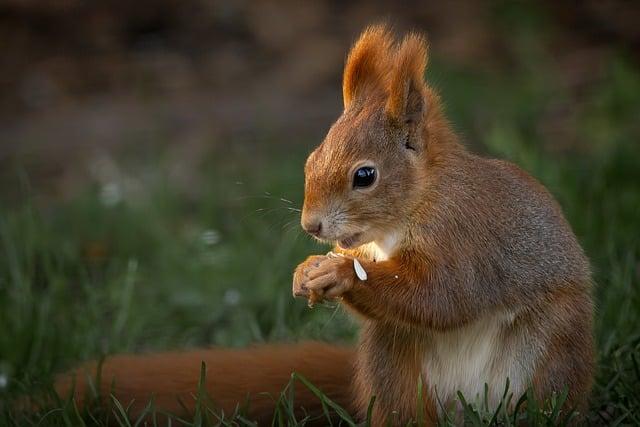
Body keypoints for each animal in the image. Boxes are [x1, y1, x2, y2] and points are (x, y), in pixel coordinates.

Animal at [50, 25, 596, 426]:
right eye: (312, 159)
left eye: (365, 176)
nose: (311, 226)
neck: (414, 209)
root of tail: (467, 412)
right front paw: (309, 270)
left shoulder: (466, 239)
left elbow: (443, 296)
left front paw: (337, 274)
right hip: (390, 361)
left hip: (549, 352)